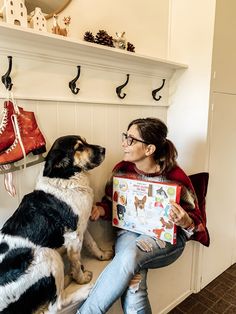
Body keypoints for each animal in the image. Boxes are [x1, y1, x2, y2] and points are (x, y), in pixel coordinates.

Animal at [0, 135, 113, 314]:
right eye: (79, 148)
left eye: (85, 141)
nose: (104, 149)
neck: (65, 177)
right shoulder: (74, 237)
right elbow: (76, 261)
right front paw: (81, 278)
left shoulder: (81, 226)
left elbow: (92, 244)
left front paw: (102, 255)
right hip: (48, 255)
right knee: (57, 303)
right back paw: (84, 288)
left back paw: (67, 278)